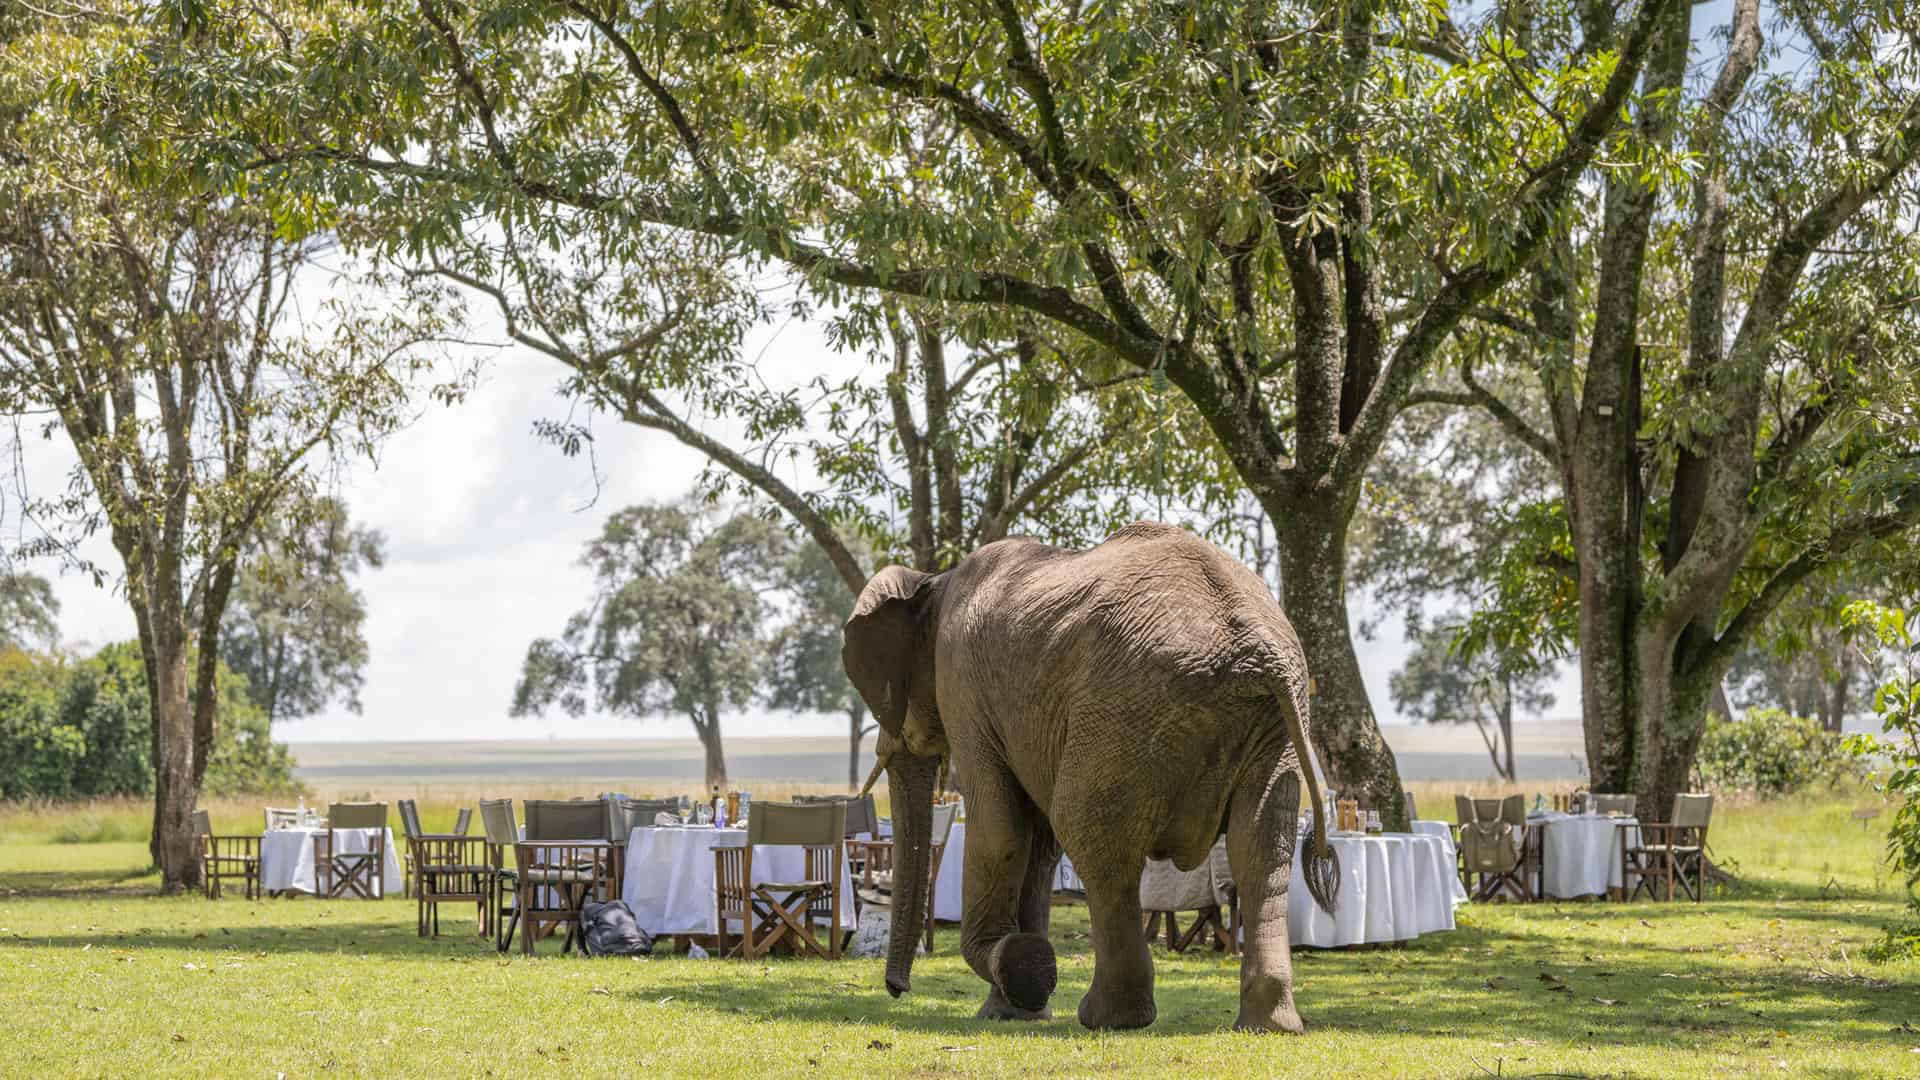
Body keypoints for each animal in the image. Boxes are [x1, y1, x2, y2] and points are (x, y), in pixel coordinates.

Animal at [842, 521, 1338, 1033]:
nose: (896, 988)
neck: (934, 582)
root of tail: (1255, 643)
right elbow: (1038, 846)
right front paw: (1015, 1006)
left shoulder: (963, 687)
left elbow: (1003, 830)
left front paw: (1019, 968)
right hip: (1271, 722)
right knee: (1261, 846)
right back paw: (1270, 1024)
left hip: (1129, 709)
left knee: (1092, 834)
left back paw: (1109, 1018)